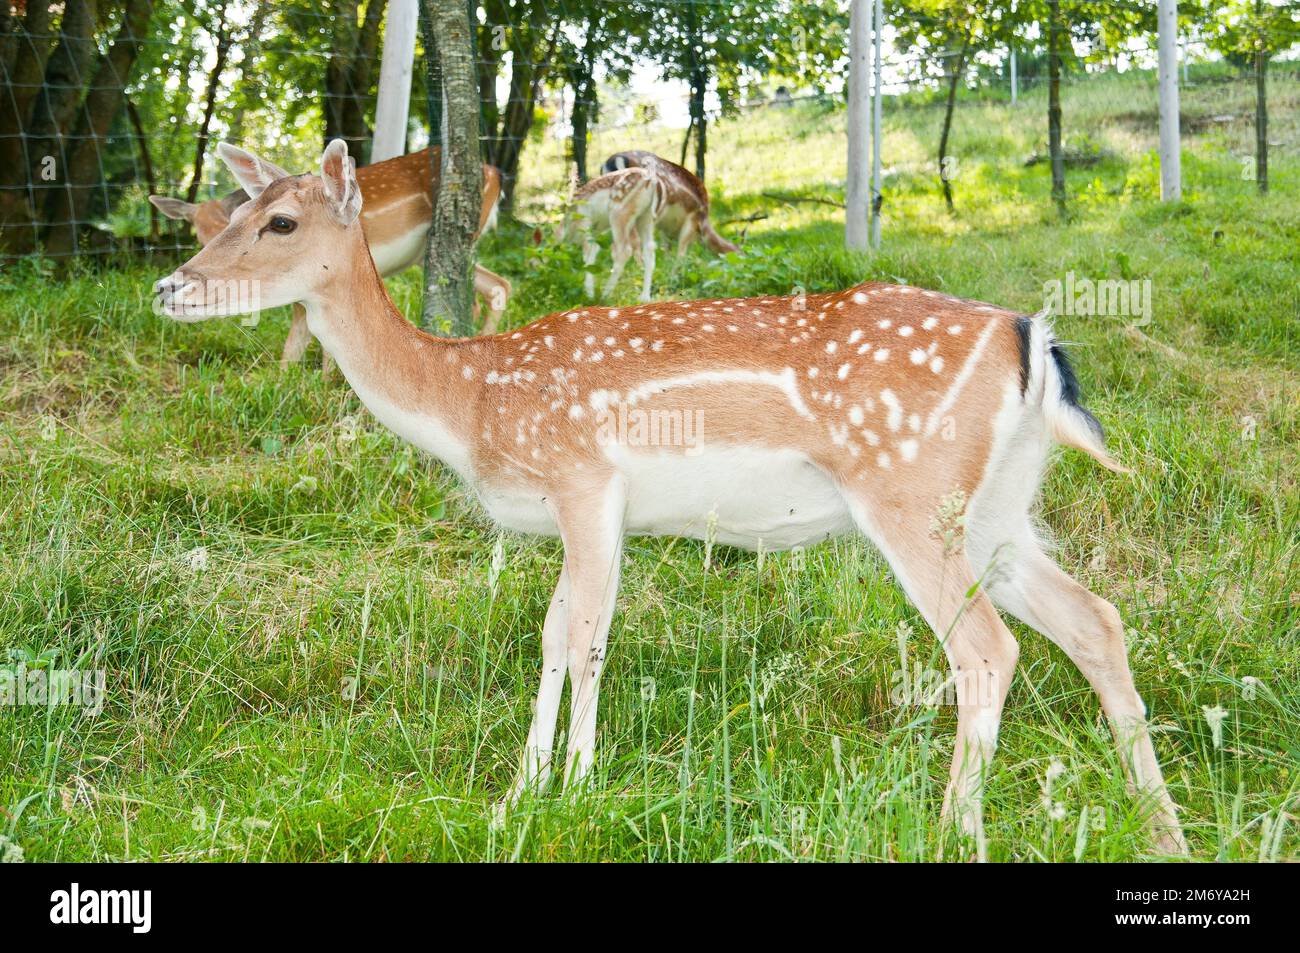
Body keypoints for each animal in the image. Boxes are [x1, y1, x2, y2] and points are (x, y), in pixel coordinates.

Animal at [152, 144, 512, 374]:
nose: (168, 286)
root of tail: (495, 173)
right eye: (197, 233)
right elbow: (295, 340)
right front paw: (283, 379)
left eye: (281, 222)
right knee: (497, 285)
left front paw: (325, 383)